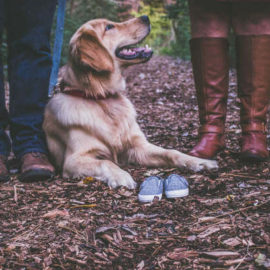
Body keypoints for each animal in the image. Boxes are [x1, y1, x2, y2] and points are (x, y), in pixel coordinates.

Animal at [43, 15, 217, 189]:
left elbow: (170, 152)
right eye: (109, 27)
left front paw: (198, 161)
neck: (101, 98)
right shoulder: (73, 159)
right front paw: (121, 176)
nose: (146, 17)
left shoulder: (137, 146)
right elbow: (106, 162)